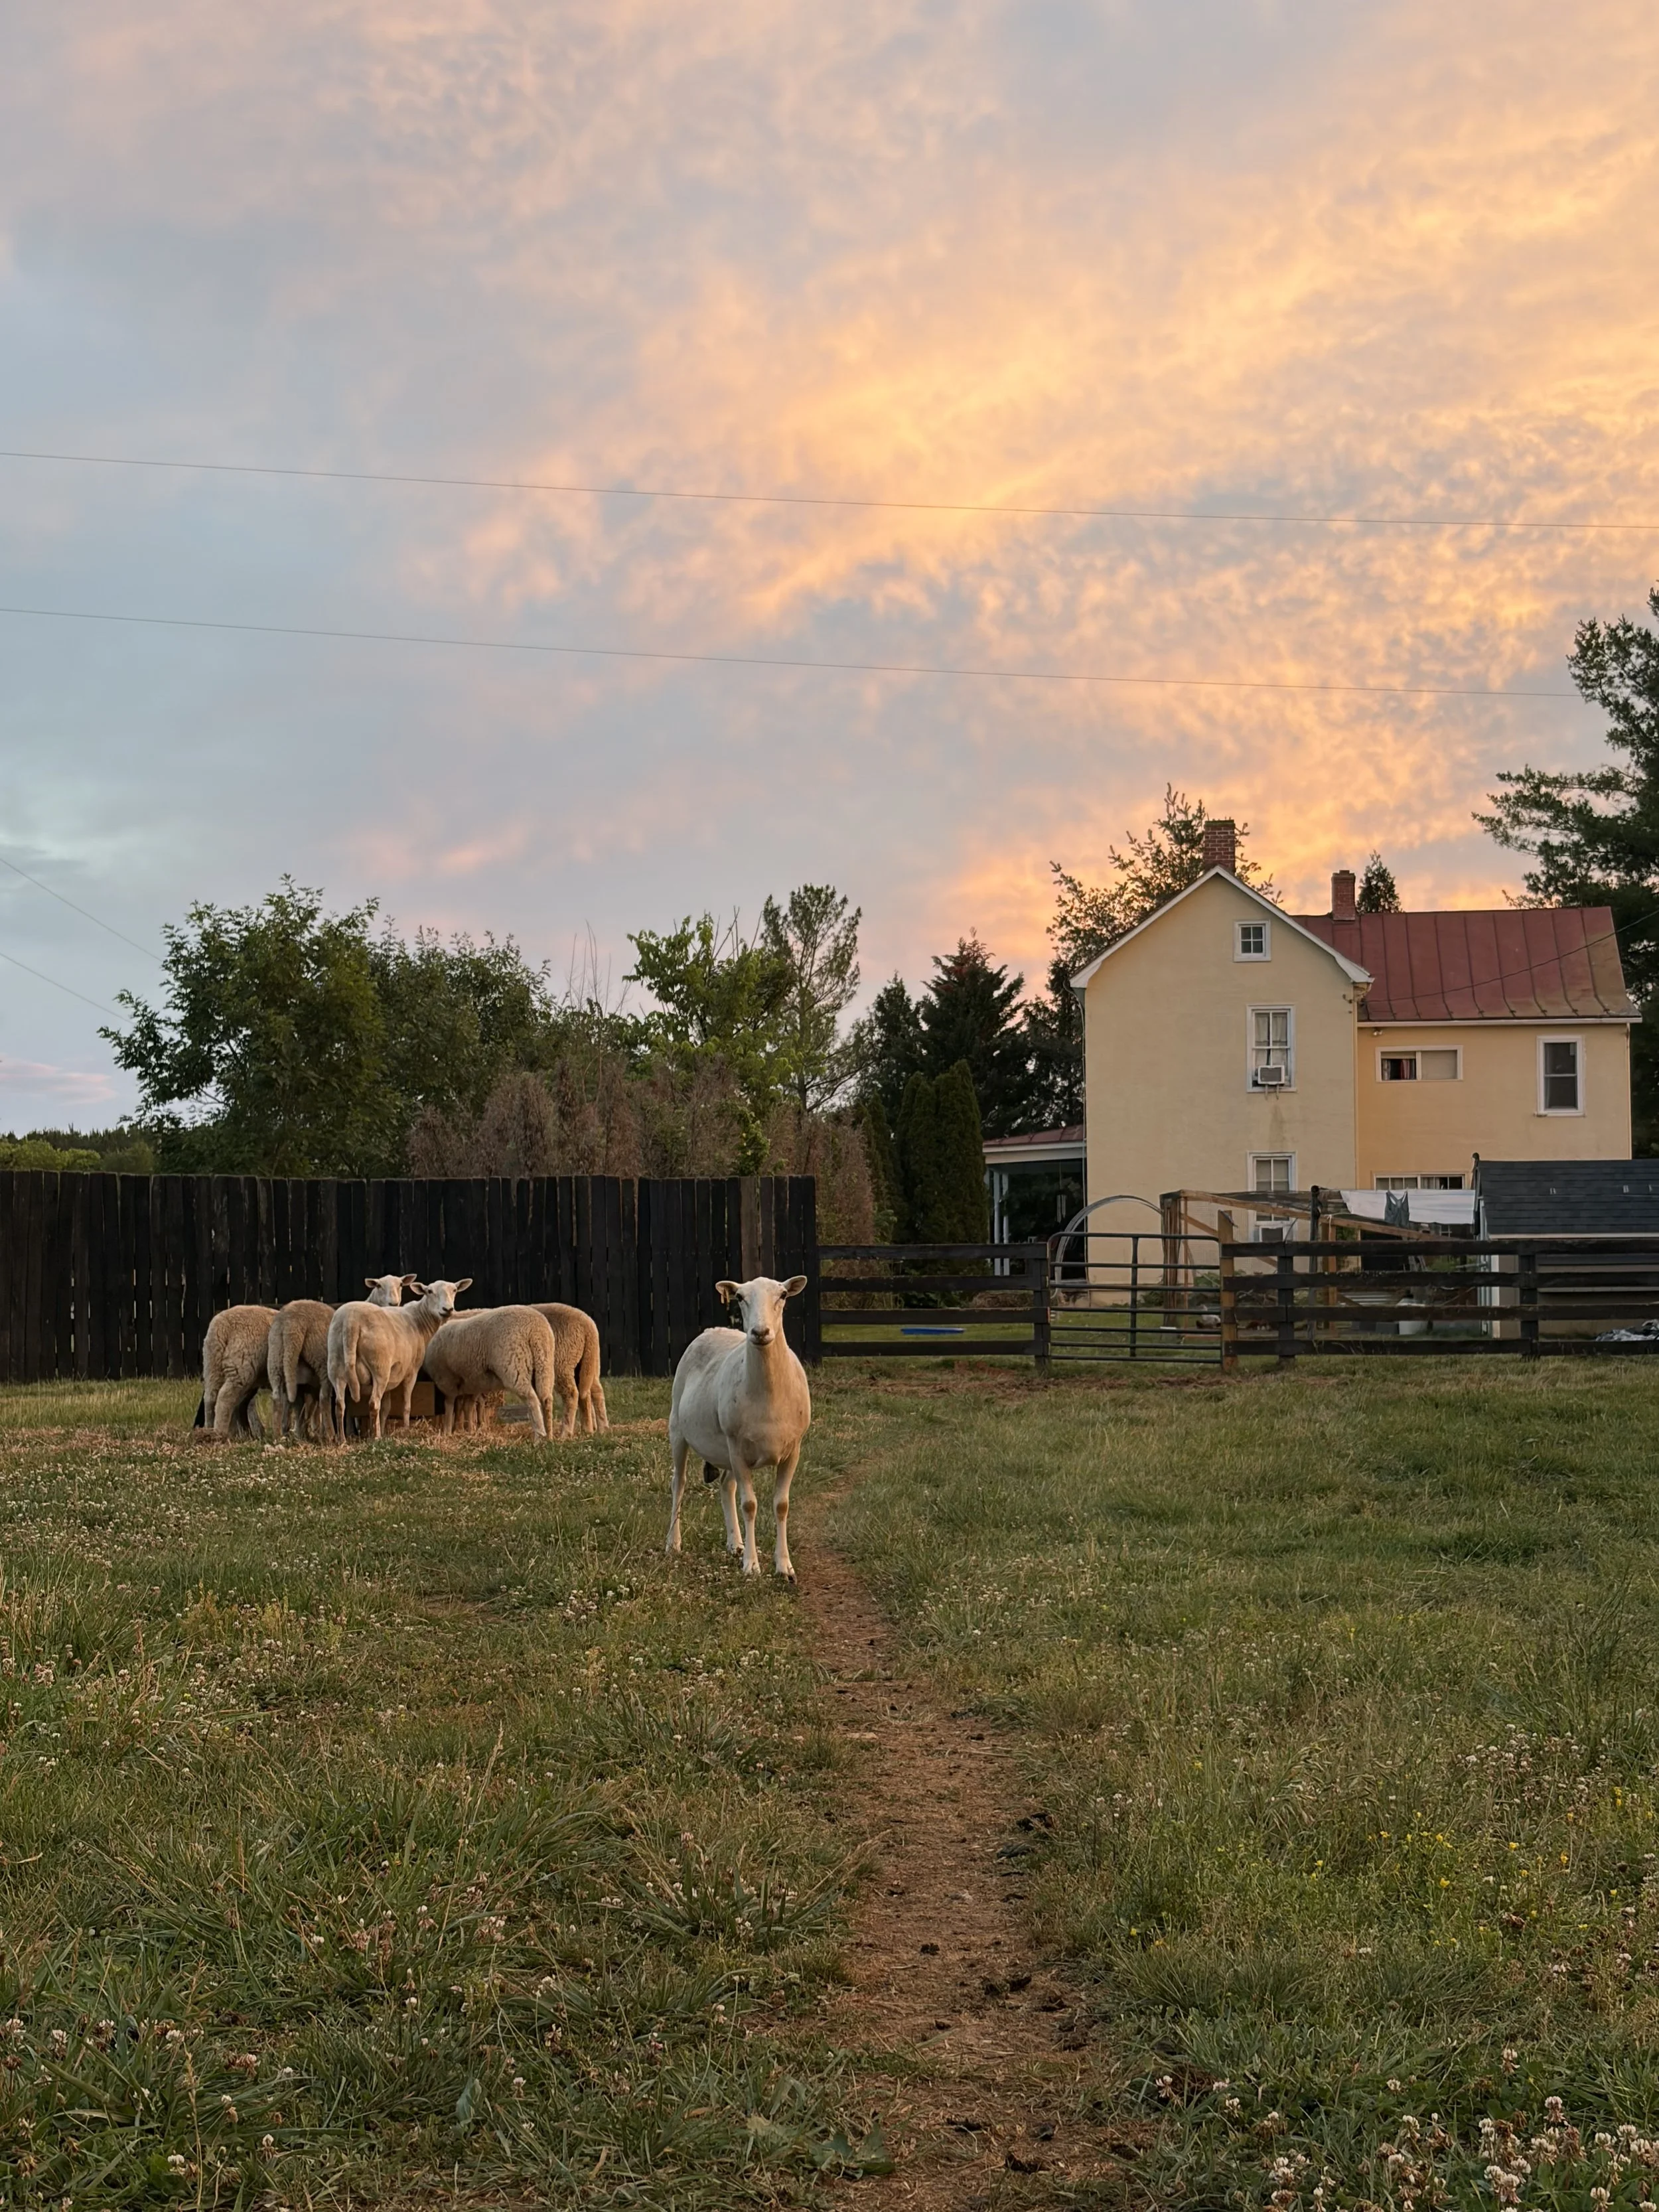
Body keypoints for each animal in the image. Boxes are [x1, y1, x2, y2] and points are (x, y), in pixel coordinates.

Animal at [200, 1304, 279, 1439]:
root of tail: (222, 1326)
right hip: (241, 1366)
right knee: (225, 1397)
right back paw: (221, 1433)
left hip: (212, 1365)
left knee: (211, 1398)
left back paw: (211, 1431)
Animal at [268, 1275, 413, 1442]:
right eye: (379, 1286)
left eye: (401, 1285)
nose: (394, 1304)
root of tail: (292, 1323)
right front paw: (351, 1431)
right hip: (322, 1361)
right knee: (324, 1398)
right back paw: (330, 1434)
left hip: (277, 1356)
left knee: (279, 1396)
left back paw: (282, 1433)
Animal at [327, 1278, 471, 1441]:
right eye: (429, 1291)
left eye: (454, 1290)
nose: (448, 1309)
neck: (419, 1321)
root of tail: (351, 1322)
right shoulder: (411, 1372)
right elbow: (406, 1406)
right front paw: (406, 1430)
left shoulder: (392, 1375)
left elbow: (386, 1407)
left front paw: (384, 1429)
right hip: (380, 1367)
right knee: (373, 1403)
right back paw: (376, 1438)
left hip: (336, 1366)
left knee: (339, 1405)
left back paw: (342, 1440)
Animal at [420, 1306, 559, 1440]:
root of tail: (536, 1329)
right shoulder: (470, 1384)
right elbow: (465, 1406)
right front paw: (465, 1430)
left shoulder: (447, 1380)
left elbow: (450, 1405)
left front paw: (448, 1431)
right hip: (544, 1366)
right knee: (546, 1399)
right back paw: (549, 1437)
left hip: (515, 1366)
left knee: (532, 1399)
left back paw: (539, 1437)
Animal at [666, 1275, 811, 1579]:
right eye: (741, 1297)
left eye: (783, 1296)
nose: (760, 1332)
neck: (768, 1395)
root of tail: (712, 1329)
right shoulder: (738, 1449)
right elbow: (750, 1505)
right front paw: (752, 1565)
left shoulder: (793, 1449)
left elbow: (782, 1505)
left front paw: (784, 1566)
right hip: (680, 1430)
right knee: (679, 1483)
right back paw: (673, 1542)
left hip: (726, 1450)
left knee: (725, 1486)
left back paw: (735, 1543)